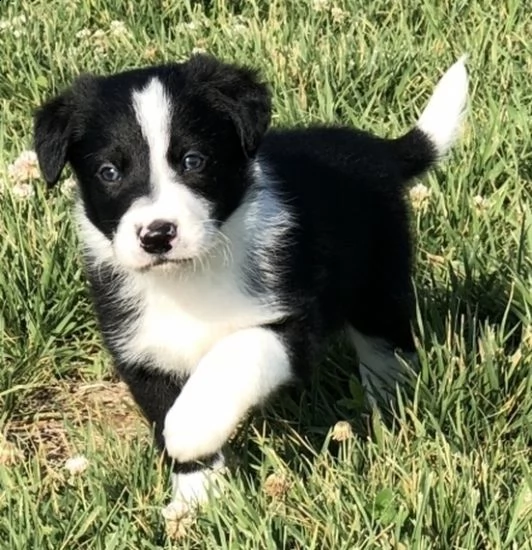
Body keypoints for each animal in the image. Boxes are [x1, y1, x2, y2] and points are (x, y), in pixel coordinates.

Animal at [33, 55, 468, 516]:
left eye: (193, 161)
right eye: (109, 172)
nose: (157, 235)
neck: (188, 278)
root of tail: (377, 149)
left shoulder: (293, 320)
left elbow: (236, 352)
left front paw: (191, 424)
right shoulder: (144, 352)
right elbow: (167, 414)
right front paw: (194, 503)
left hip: (378, 285)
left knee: (387, 347)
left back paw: (392, 406)